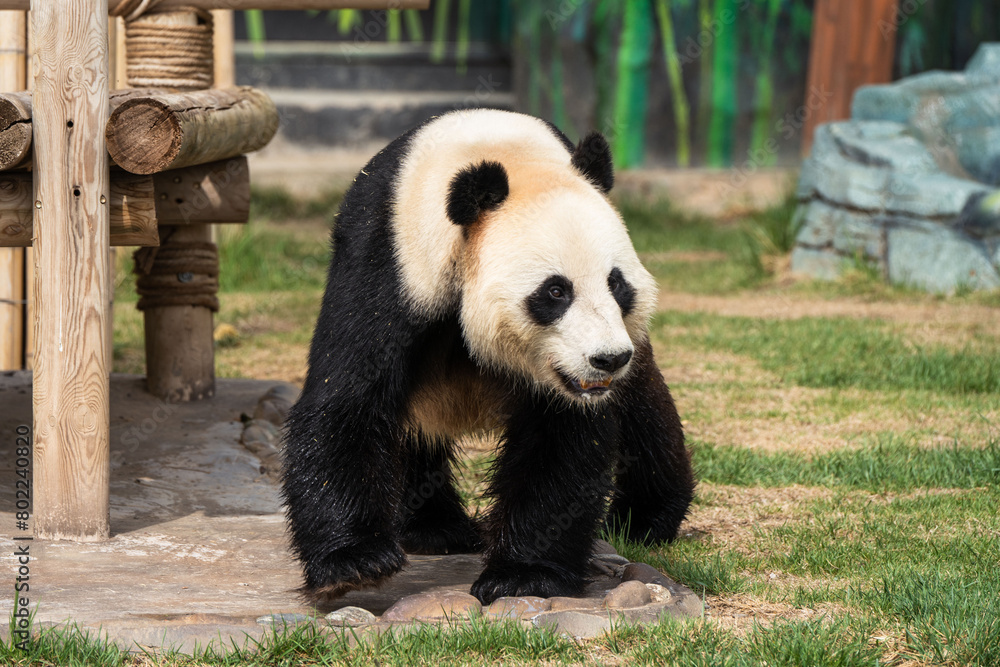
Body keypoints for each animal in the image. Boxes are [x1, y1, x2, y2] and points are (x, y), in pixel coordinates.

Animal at [282, 108, 694, 606]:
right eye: (555, 292)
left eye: (617, 283)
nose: (607, 359)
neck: (510, 156)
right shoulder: (389, 263)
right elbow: (348, 396)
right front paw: (354, 563)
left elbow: (562, 436)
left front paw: (524, 575)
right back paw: (435, 530)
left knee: (646, 411)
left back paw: (644, 519)